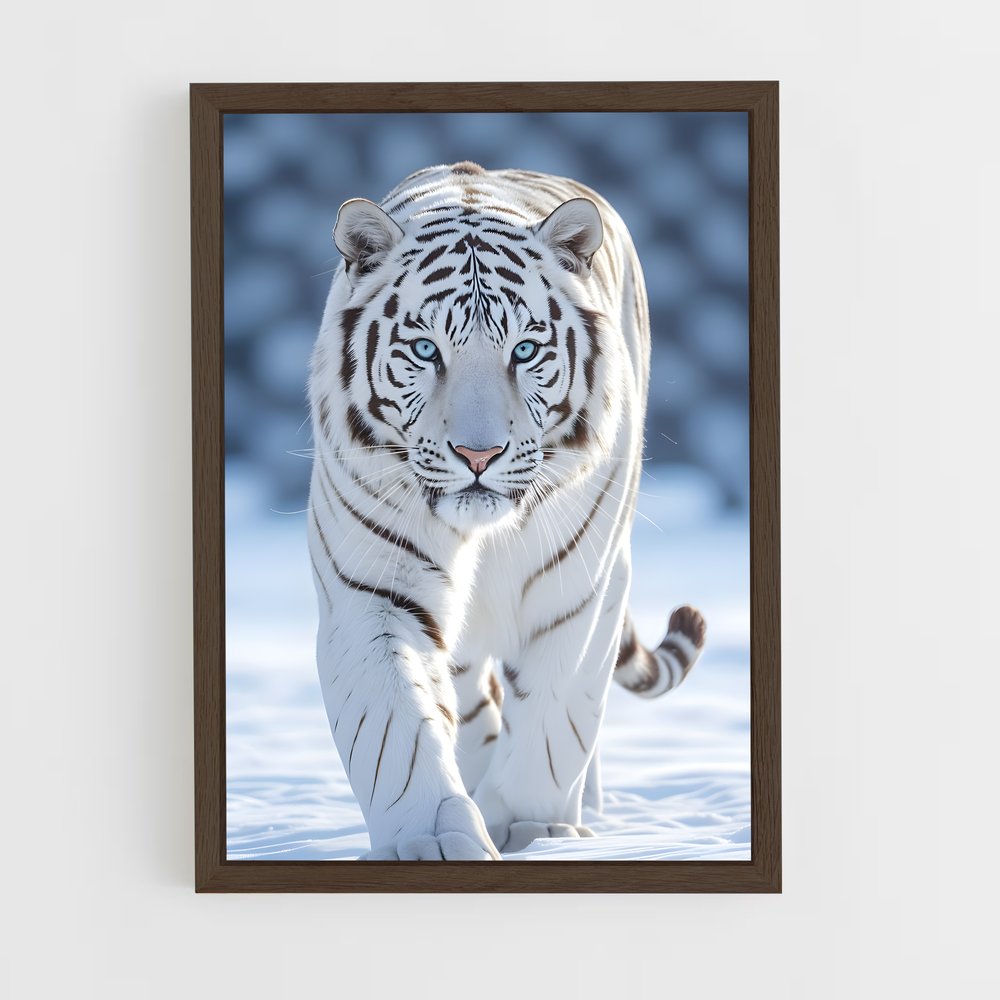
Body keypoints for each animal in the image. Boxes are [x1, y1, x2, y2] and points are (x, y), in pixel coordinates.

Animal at [307, 162, 706, 860]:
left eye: (524, 351)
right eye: (425, 350)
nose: (478, 453)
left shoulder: (578, 589)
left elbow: (554, 716)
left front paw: (533, 829)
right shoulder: (374, 590)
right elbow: (395, 730)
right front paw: (434, 841)